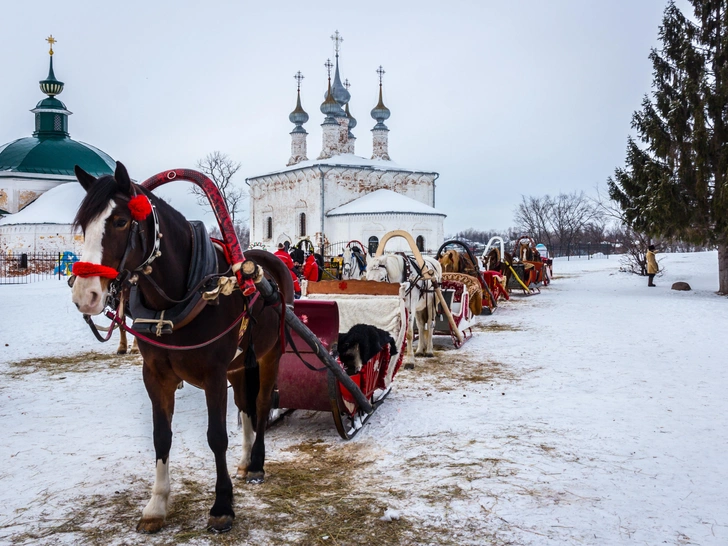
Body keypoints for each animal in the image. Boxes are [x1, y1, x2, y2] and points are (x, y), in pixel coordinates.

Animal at [69, 162, 292, 532]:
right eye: (84, 225)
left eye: (120, 221)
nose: (85, 295)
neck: (178, 300)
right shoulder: (156, 375)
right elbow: (162, 435)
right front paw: (156, 505)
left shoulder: (214, 374)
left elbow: (217, 437)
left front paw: (222, 505)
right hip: (238, 364)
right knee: (245, 405)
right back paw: (245, 461)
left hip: (271, 353)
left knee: (260, 405)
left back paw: (257, 463)